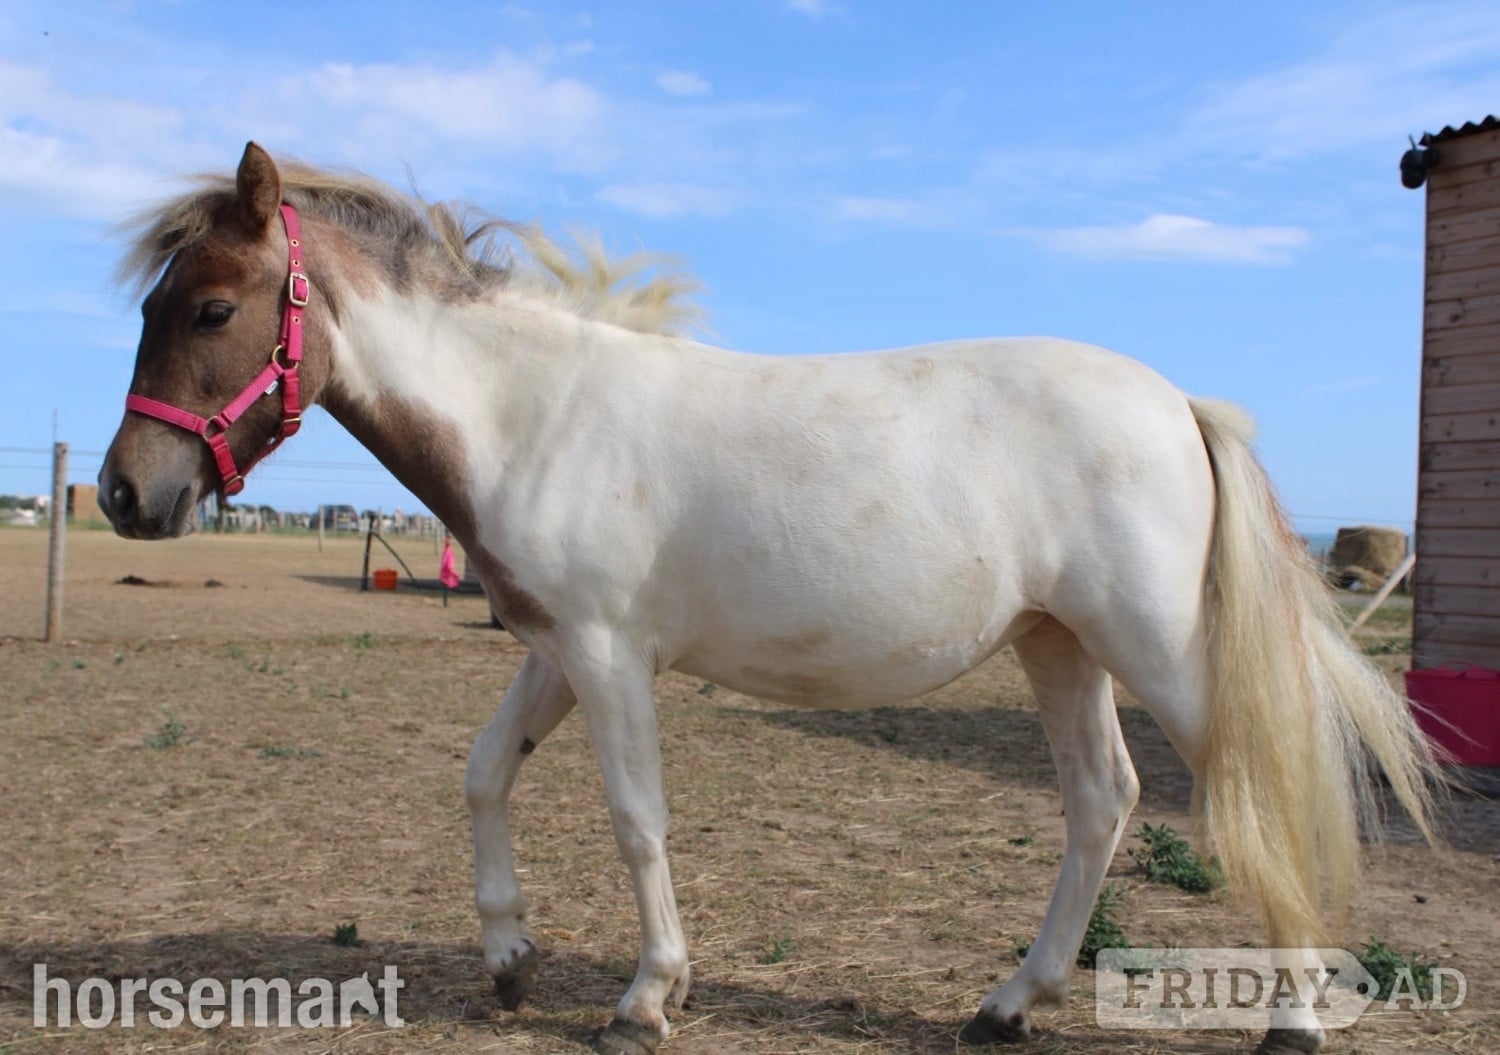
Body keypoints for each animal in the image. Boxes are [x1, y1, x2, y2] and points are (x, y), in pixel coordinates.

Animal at [98, 142, 1437, 1054]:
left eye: (211, 307)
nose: (123, 491)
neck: (537, 414)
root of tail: (1179, 403)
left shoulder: (607, 654)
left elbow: (637, 819)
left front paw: (646, 997)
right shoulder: (553, 649)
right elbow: (482, 773)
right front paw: (512, 955)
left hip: (1152, 648)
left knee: (1243, 791)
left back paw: (1292, 1016)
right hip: (1059, 645)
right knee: (1101, 802)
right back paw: (1009, 1002)